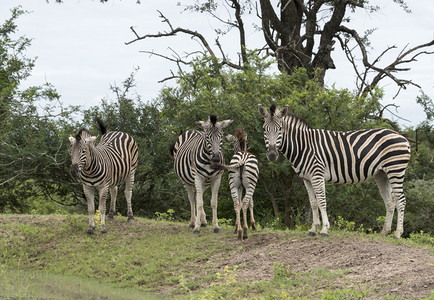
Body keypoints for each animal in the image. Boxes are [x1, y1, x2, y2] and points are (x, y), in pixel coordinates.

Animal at [260, 104, 412, 238]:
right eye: (264, 130)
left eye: (280, 129)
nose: (272, 155)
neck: (303, 146)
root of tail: (402, 137)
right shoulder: (306, 178)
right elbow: (313, 203)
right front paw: (313, 229)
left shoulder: (317, 174)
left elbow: (321, 201)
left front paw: (324, 229)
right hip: (382, 174)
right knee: (390, 201)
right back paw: (384, 232)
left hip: (395, 170)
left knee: (401, 200)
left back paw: (397, 234)